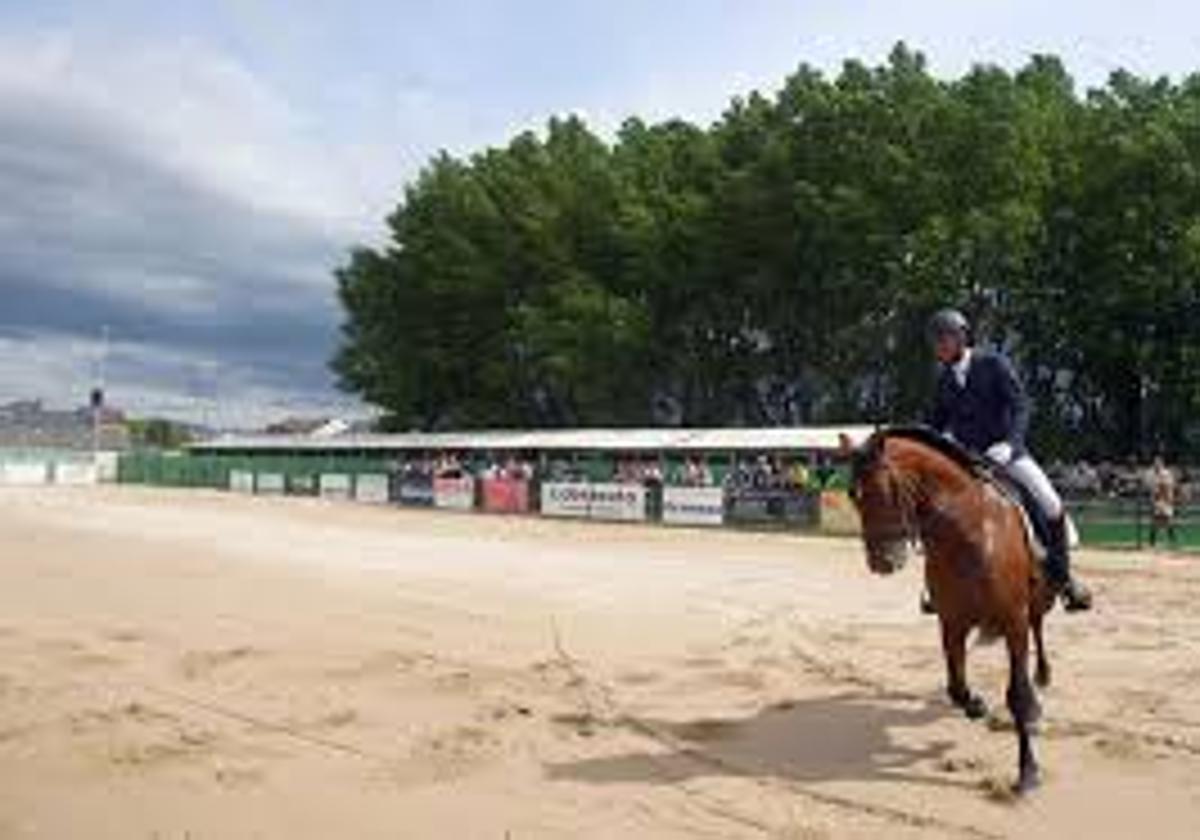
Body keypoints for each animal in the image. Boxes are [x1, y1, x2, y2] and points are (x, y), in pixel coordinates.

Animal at [840, 427, 1056, 792]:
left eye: (889, 489)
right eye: (853, 495)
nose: (883, 562)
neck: (970, 532)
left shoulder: (1013, 619)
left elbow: (1016, 695)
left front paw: (1027, 771)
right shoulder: (951, 621)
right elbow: (956, 688)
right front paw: (977, 706)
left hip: (1035, 600)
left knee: (1037, 628)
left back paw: (1042, 676)